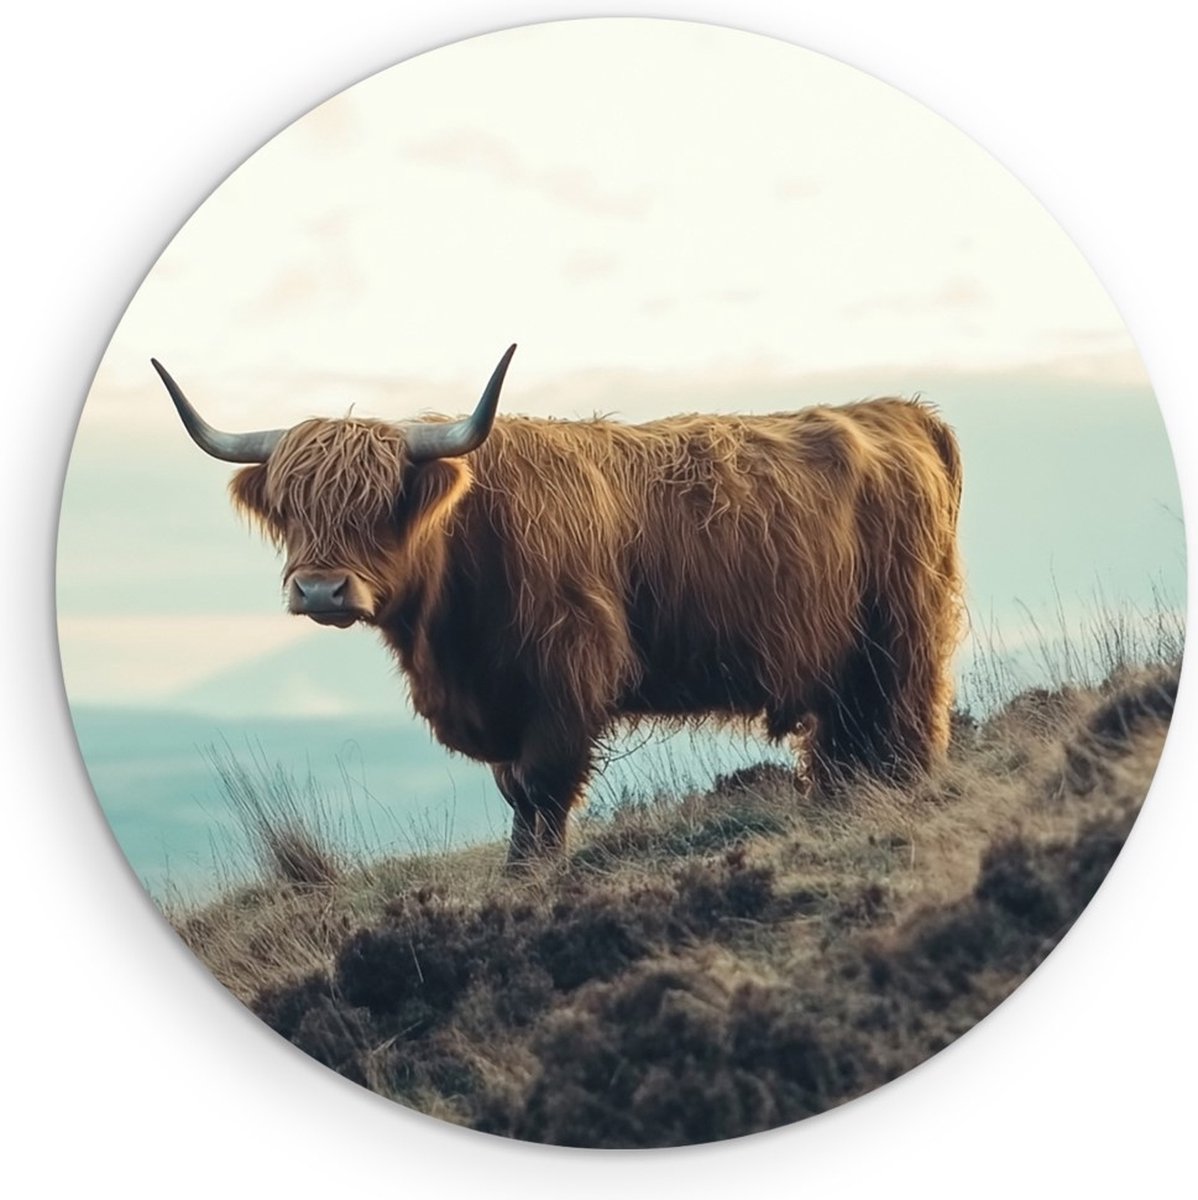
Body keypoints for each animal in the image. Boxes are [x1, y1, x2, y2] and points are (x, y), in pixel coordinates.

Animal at [153, 346, 963, 865]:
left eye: (381, 504)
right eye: (292, 508)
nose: (321, 590)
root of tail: (900, 411)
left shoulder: (568, 673)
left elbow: (540, 786)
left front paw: (533, 874)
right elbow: (515, 788)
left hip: (903, 631)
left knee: (906, 722)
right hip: (840, 661)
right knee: (844, 740)